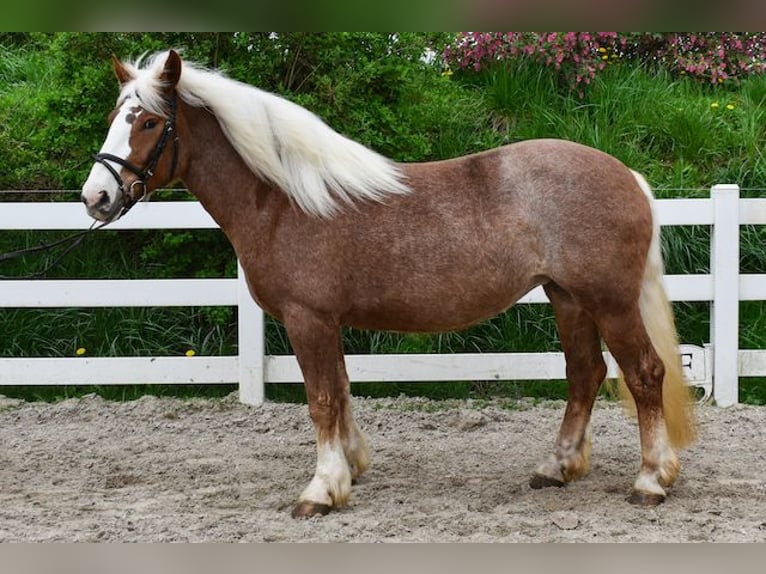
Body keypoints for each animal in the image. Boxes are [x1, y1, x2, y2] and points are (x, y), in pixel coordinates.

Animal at [81, 48, 700, 516]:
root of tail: (627, 175)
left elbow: (321, 399)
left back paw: (651, 479)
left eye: (150, 122)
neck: (283, 201)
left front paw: (320, 491)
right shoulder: (327, 321)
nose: (96, 197)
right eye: (115, 116)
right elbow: (341, 389)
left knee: (645, 374)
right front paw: (351, 468)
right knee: (584, 373)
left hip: (609, 301)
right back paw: (558, 466)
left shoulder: (308, 318)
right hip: (567, 297)